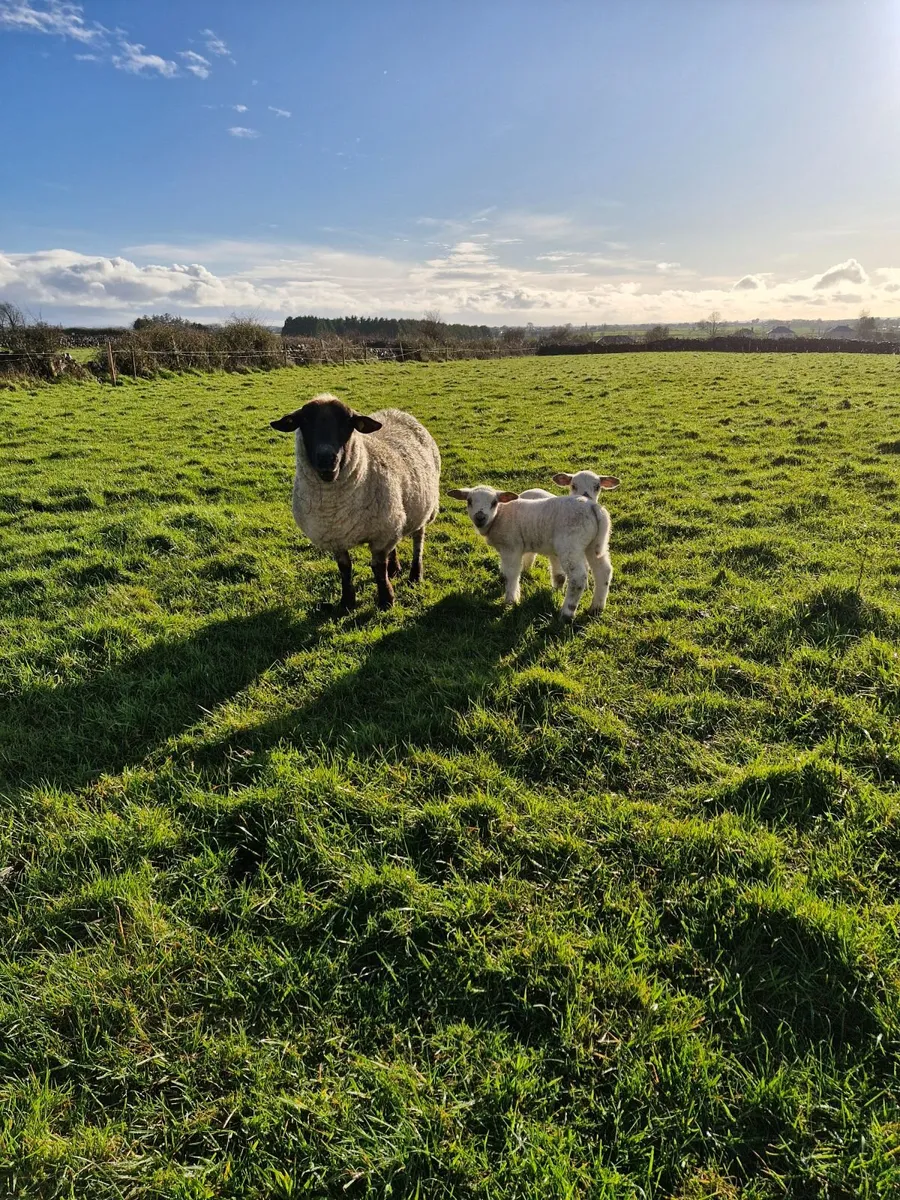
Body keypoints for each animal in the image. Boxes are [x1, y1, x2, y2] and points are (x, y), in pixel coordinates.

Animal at [270, 393, 440, 610]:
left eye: (347, 422)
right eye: (305, 421)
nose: (327, 459)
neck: (334, 508)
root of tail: (397, 411)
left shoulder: (380, 535)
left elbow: (378, 568)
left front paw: (386, 600)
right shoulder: (337, 536)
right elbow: (345, 569)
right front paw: (347, 602)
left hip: (423, 508)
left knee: (418, 539)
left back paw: (415, 575)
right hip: (395, 515)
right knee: (395, 541)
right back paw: (395, 569)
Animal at [448, 486, 614, 620]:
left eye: (494, 502)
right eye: (469, 501)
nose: (480, 517)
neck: (499, 515)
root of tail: (593, 507)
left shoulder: (511, 548)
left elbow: (511, 574)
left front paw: (511, 600)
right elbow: (507, 572)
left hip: (571, 544)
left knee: (578, 577)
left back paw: (566, 614)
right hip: (594, 544)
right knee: (603, 571)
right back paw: (596, 608)